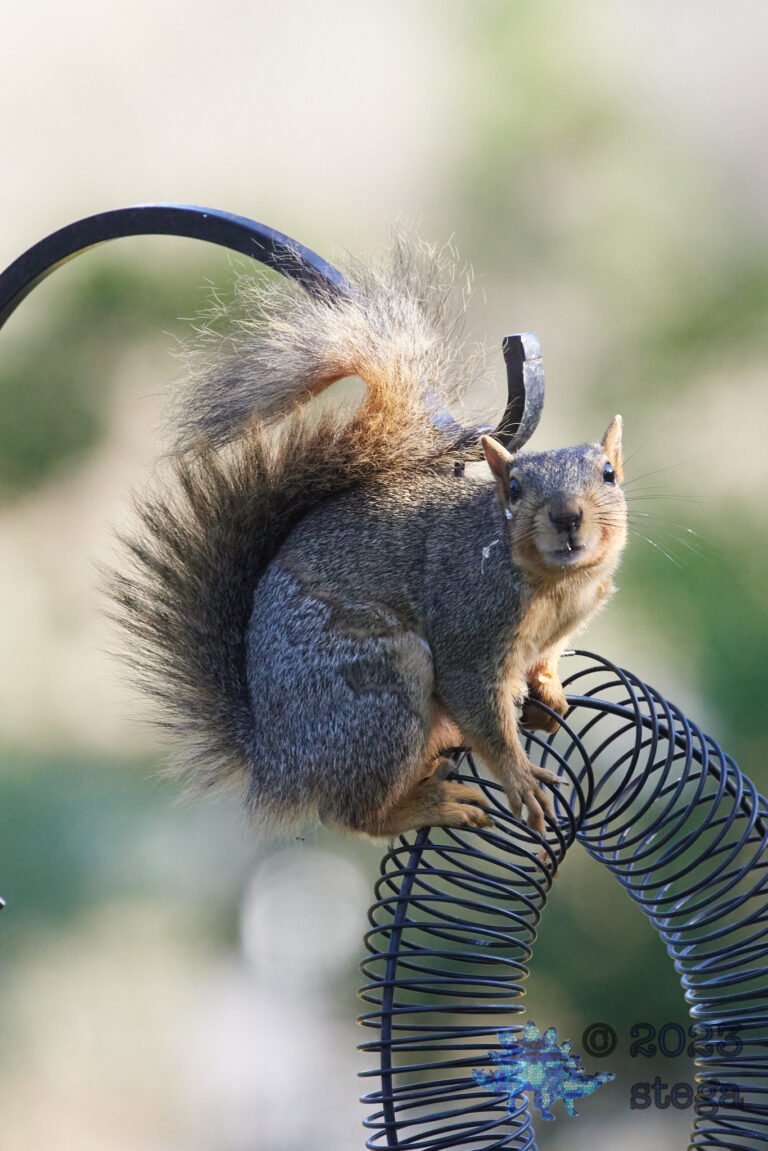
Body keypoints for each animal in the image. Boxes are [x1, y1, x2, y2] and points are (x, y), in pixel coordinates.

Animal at [111, 239, 627, 843]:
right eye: (515, 490)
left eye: (609, 475)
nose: (567, 516)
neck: (557, 586)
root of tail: (278, 760)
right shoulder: (470, 626)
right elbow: (480, 710)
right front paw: (521, 778)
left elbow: (542, 663)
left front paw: (547, 690)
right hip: (379, 691)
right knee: (355, 814)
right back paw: (430, 805)